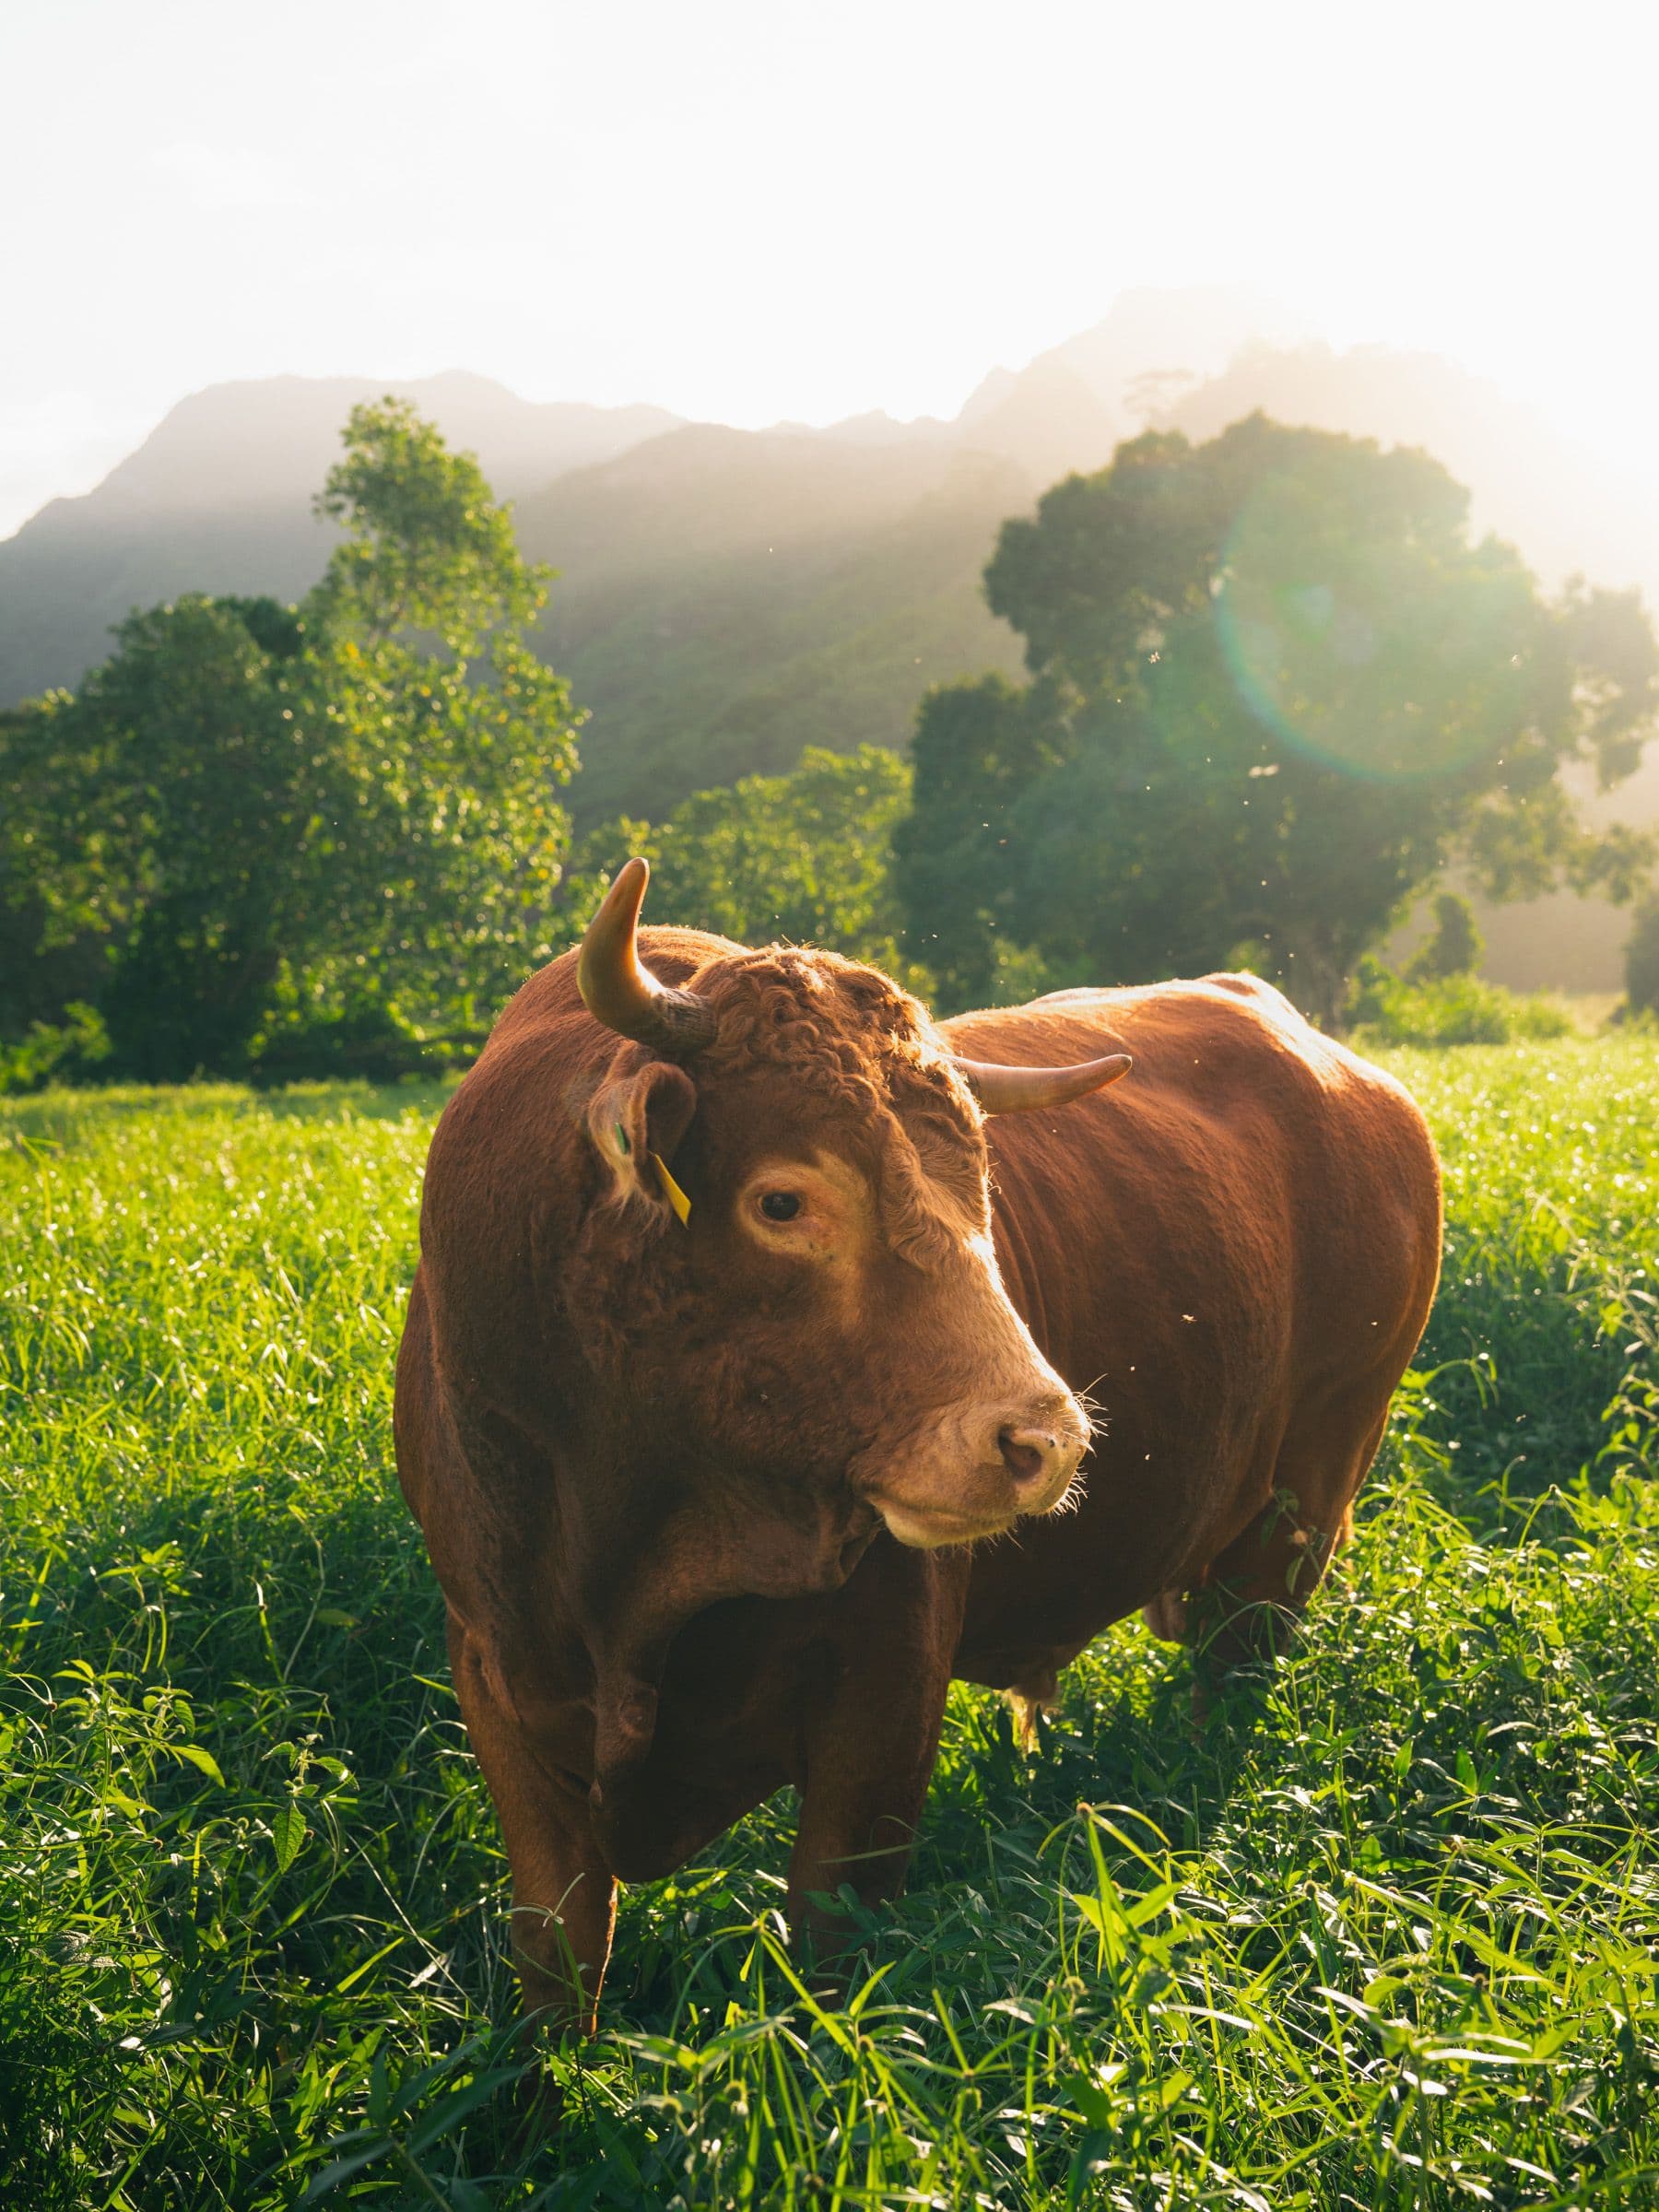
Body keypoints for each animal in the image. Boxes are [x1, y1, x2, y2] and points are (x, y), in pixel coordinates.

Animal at [394, 858, 1441, 2029]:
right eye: (782, 1200)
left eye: (979, 1185)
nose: (1045, 1442)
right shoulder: (496, 1667)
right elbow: (560, 1948)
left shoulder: (886, 1688)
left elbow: (831, 1927)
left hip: (1303, 1511)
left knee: (1233, 1673)